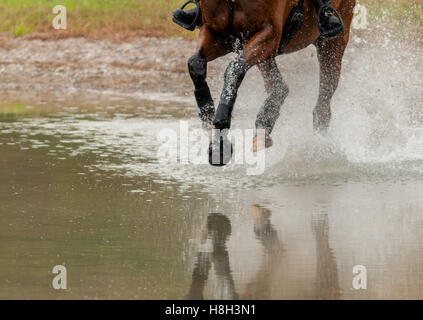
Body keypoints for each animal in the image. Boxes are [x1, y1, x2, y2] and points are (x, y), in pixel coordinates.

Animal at [189, 0, 358, 165]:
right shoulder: (216, 33)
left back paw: (318, 148)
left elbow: (234, 70)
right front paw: (208, 116)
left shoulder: (269, 33)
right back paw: (264, 126)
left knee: (323, 105)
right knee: (279, 87)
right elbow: (195, 64)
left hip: (332, 42)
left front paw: (219, 145)